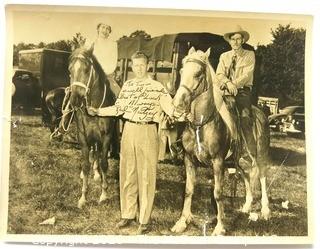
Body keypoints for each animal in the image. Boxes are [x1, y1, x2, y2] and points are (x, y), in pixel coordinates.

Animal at [68, 47, 115, 209]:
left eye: (87, 69)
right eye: (69, 70)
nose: (75, 99)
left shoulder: (106, 137)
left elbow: (104, 163)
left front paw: (104, 194)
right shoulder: (83, 137)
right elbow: (85, 164)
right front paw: (83, 197)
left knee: (97, 154)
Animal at [171, 47, 272, 236]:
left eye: (198, 73)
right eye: (181, 71)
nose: (178, 104)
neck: (202, 124)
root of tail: (262, 113)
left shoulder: (218, 162)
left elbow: (218, 193)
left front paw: (220, 226)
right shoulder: (189, 159)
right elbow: (188, 190)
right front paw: (182, 222)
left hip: (261, 155)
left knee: (262, 176)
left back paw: (265, 210)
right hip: (239, 160)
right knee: (247, 176)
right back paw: (246, 207)